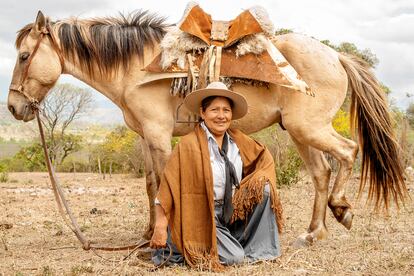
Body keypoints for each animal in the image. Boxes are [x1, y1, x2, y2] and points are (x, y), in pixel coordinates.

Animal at [6, 9, 408, 246]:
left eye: (24, 56)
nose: (13, 107)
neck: (137, 66)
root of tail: (336, 55)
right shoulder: (147, 138)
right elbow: (150, 184)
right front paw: (146, 235)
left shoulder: (158, 136)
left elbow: (161, 185)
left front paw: (161, 239)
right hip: (299, 132)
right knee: (322, 172)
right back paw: (314, 232)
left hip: (308, 128)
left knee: (348, 152)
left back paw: (341, 210)